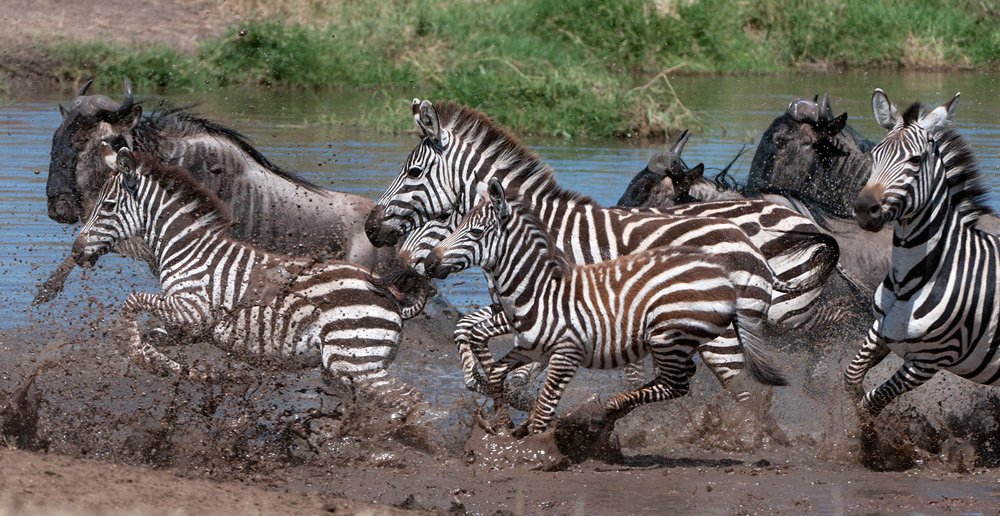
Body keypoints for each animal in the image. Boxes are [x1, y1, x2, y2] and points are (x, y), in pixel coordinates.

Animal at [70, 144, 430, 416]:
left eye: (108, 206)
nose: (75, 251)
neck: (187, 250)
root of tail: (392, 295)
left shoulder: (192, 309)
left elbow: (131, 303)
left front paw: (138, 355)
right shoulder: (187, 328)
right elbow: (150, 338)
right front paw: (179, 369)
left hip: (356, 361)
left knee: (411, 400)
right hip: (351, 366)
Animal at [426, 179, 784, 434]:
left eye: (472, 230)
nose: (429, 262)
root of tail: (755, 254)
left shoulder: (562, 348)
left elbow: (542, 406)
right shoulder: (525, 341)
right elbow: (492, 361)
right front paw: (503, 417)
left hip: (682, 337)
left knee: (724, 386)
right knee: (683, 380)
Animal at [844, 87, 1000, 420]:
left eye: (915, 160)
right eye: (874, 156)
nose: (864, 208)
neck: (911, 280)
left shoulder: (928, 362)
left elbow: (871, 402)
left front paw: (867, 434)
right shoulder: (880, 330)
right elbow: (851, 377)